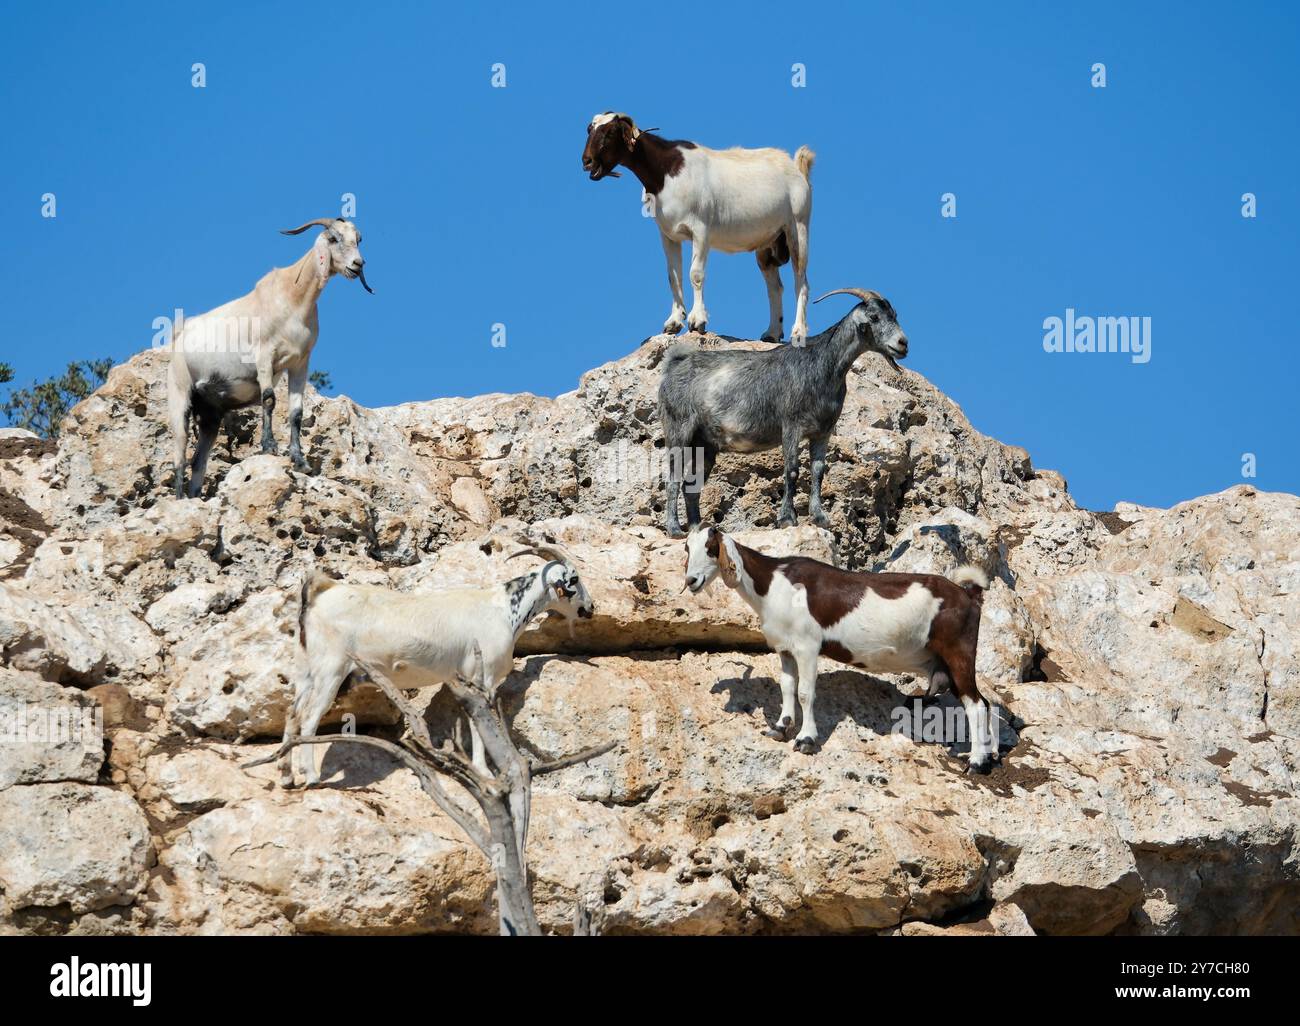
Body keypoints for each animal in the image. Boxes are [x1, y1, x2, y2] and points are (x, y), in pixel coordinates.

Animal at [166, 218, 371, 499]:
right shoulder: (264, 356)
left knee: (199, 461)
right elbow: (269, 399)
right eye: (333, 239)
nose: (357, 264)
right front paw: (269, 446)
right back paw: (179, 499)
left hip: (210, 413)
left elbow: (296, 412)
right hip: (180, 394)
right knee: (179, 454)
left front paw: (300, 461)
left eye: (358, 240)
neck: (292, 298)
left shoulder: (301, 362)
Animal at [284, 540, 595, 790]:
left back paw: (287, 777)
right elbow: (480, 725)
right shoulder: (483, 677)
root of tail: (319, 594)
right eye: (574, 578)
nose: (590, 608)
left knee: (292, 715)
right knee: (309, 719)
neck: (503, 610)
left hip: (306, 672)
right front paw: (485, 771)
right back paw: (312, 777)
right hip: (331, 671)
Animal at [587, 111, 816, 343]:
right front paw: (673, 322)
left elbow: (695, 274)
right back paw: (772, 333)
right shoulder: (668, 235)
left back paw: (798, 332)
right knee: (775, 287)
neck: (666, 172)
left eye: (611, 132)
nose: (587, 161)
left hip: (798, 227)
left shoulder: (701, 230)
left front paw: (697, 321)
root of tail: (796, 167)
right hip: (768, 242)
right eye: (590, 129)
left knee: (801, 280)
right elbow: (673, 276)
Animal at [655, 288, 909, 535]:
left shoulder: (823, 432)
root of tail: (675, 365)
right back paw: (674, 530)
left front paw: (819, 517)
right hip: (679, 429)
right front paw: (787, 518)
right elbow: (792, 470)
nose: (903, 343)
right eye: (874, 317)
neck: (822, 365)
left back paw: (697, 529)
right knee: (673, 480)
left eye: (894, 315)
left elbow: (818, 471)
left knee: (691, 485)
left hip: (705, 444)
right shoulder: (791, 426)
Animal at [681, 527, 993, 769]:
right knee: (983, 702)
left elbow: (805, 693)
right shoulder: (785, 648)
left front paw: (806, 739)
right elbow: (787, 686)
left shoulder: (807, 646)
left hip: (958, 651)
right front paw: (781, 727)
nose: (691, 581)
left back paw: (976, 762)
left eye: (710, 548)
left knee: (976, 704)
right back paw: (988, 756)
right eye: (687, 547)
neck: (773, 584)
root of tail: (969, 594)